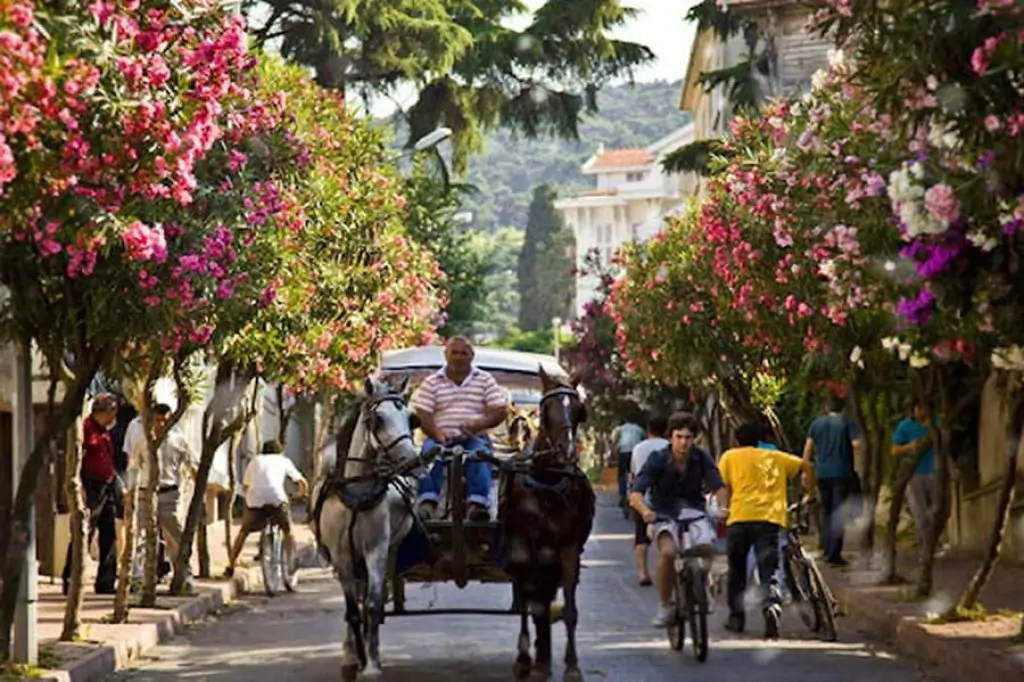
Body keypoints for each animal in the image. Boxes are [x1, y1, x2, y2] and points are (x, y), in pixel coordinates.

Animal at [311, 374, 423, 675]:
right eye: (378, 419)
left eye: (411, 419)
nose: (411, 461)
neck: (356, 493)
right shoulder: (341, 554)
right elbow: (351, 609)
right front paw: (354, 659)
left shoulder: (377, 549)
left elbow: (372, 605)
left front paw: (371, 664)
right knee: (356, 601)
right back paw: (350, 649)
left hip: (390, 550)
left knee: (373, 598)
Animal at [499, 364, 598, 675]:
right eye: (546, 408)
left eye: (579, 410)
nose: (566, 450)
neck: (548, 480)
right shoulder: (524, 548)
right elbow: (528, 601)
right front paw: (524, 657)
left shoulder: (568, 548)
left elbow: (569, 610)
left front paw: (572, 666)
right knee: (528, 596)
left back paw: (543, 654)